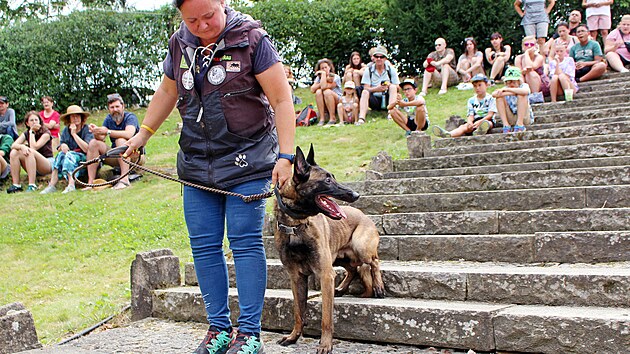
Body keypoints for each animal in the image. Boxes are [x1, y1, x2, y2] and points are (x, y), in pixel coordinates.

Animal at [276, 145, 388, 352]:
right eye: (327, 180)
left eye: (333, 177)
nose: (356, 195)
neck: (296, 226)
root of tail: (364, 215)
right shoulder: (296, 278)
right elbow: (298, 312)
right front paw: (293, 337)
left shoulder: (325, 275)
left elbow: (326, 318)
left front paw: (325, 345)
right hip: (339, 257)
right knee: (353, 269)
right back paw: (343, 287)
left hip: (360, 247)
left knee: (374, 262)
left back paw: (378, 286)